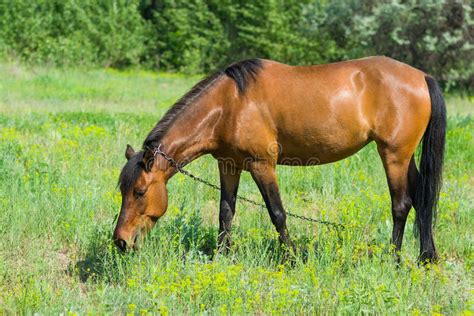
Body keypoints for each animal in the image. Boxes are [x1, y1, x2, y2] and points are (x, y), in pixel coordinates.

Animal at [113, 56, 446, 262]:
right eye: (122, 190)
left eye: (139, 191)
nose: (120, 241)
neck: (230, 104)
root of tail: (421, 76)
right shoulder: (229, 165)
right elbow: (225, 212)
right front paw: (221, 256)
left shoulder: (262, 165)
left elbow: (277, 214)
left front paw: (291, 258)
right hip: (405, 156)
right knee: (422, 198)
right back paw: (425, 257)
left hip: (394, 154)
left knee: (401, 204)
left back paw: (394, 258)